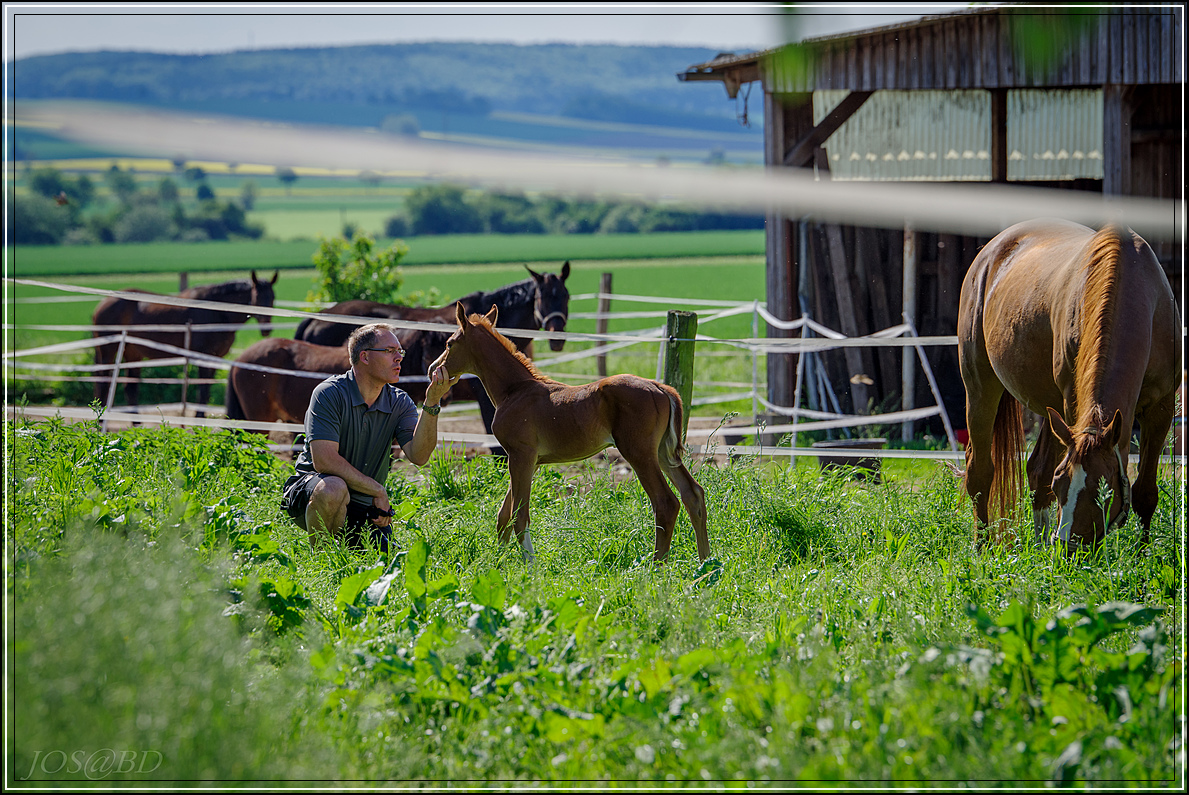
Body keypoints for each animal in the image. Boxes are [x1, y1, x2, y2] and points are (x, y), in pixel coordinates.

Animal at [430, 300, 703, 560]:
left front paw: (530, 567)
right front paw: (496, 562)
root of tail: (662, 388)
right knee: (693, 494)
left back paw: (657, 566)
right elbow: (504, 516)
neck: (515, 390)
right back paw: (705, 563)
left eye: (449, 343)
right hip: (662, 452)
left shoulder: (520, 455)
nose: (433, 369)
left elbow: (519, 516)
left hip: (639, 452)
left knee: (666, 503)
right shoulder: (531, 462)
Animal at [955, 219, 1179, 549]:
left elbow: (1145, 493)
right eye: (1061, 484)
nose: (1068, 548)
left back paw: (1036, 546)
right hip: (981, 388)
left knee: (1036, 471)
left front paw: (1141, 554)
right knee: (980, 472)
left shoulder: (1160, 410)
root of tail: (990, 252)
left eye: (1103, 491)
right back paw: (982, 546)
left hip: (1051, 411)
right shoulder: (1074, 404)